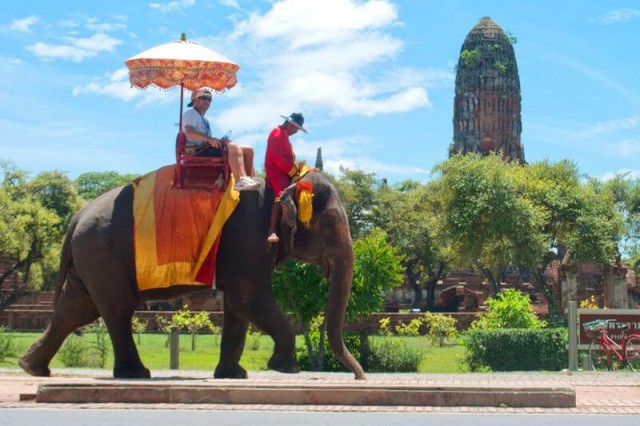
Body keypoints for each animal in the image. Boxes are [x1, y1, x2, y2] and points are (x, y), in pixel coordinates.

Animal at [20, 170, 364, 380]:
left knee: (77, 309)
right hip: (103, 253)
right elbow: (250, 298)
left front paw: (233, 375)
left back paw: (33, 368)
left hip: (91, 256)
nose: (360, 375)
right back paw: (136, 373)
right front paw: (286, 368)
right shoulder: (248, 239)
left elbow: (238, 307)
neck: (279, 186)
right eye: (329, 222)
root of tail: (77, 216)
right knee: (116, 310)